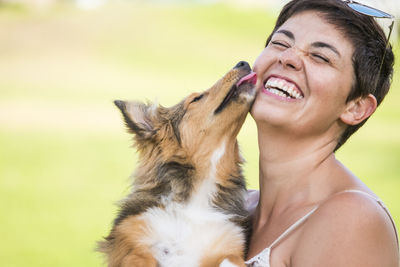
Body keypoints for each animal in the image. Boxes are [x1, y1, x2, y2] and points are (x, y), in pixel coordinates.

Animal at [98, 61, 258, 267]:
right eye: (196, 98)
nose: (243, 63)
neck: (195, 202)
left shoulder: (229, 245)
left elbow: (231, 259)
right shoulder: (132, 247)